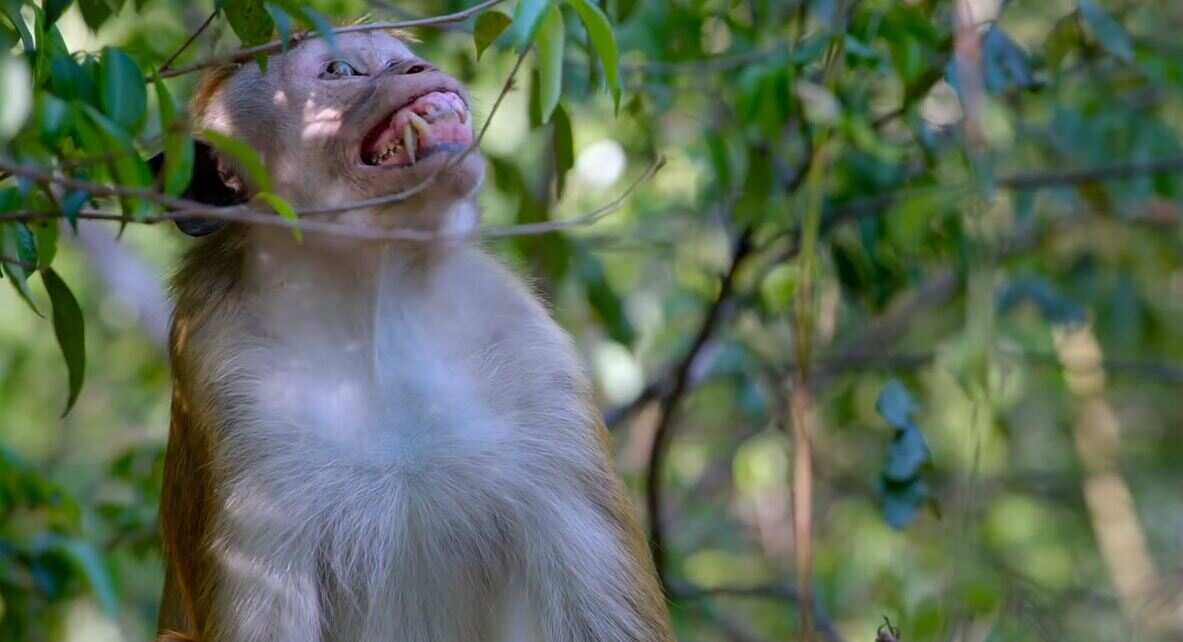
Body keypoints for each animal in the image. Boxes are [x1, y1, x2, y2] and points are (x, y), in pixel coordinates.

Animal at [154, 30, 674, 642]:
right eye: (341, 70)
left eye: (397, 57)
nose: (418, 69)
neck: (377, 302)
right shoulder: (227, 382)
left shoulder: (532, 352)